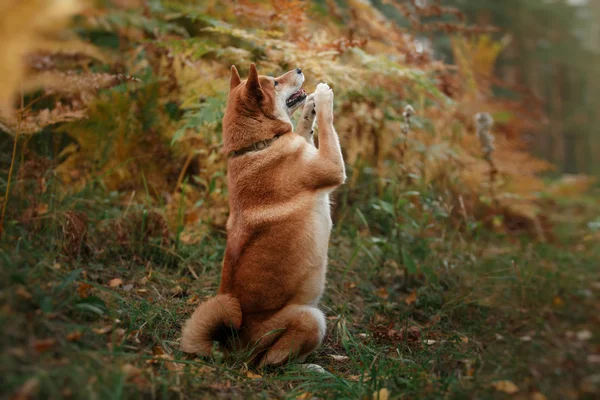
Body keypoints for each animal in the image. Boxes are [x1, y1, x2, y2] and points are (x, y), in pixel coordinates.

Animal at [180, 64, 344, 368]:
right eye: (275, 82)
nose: (299, 69)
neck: (259, 145)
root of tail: (236, 347)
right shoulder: (330, 166)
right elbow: (328, 127)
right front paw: (324, 98)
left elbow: (305, 128)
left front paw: (310, 108)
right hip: (311, 318)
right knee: (271, 363)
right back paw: (310, 368)